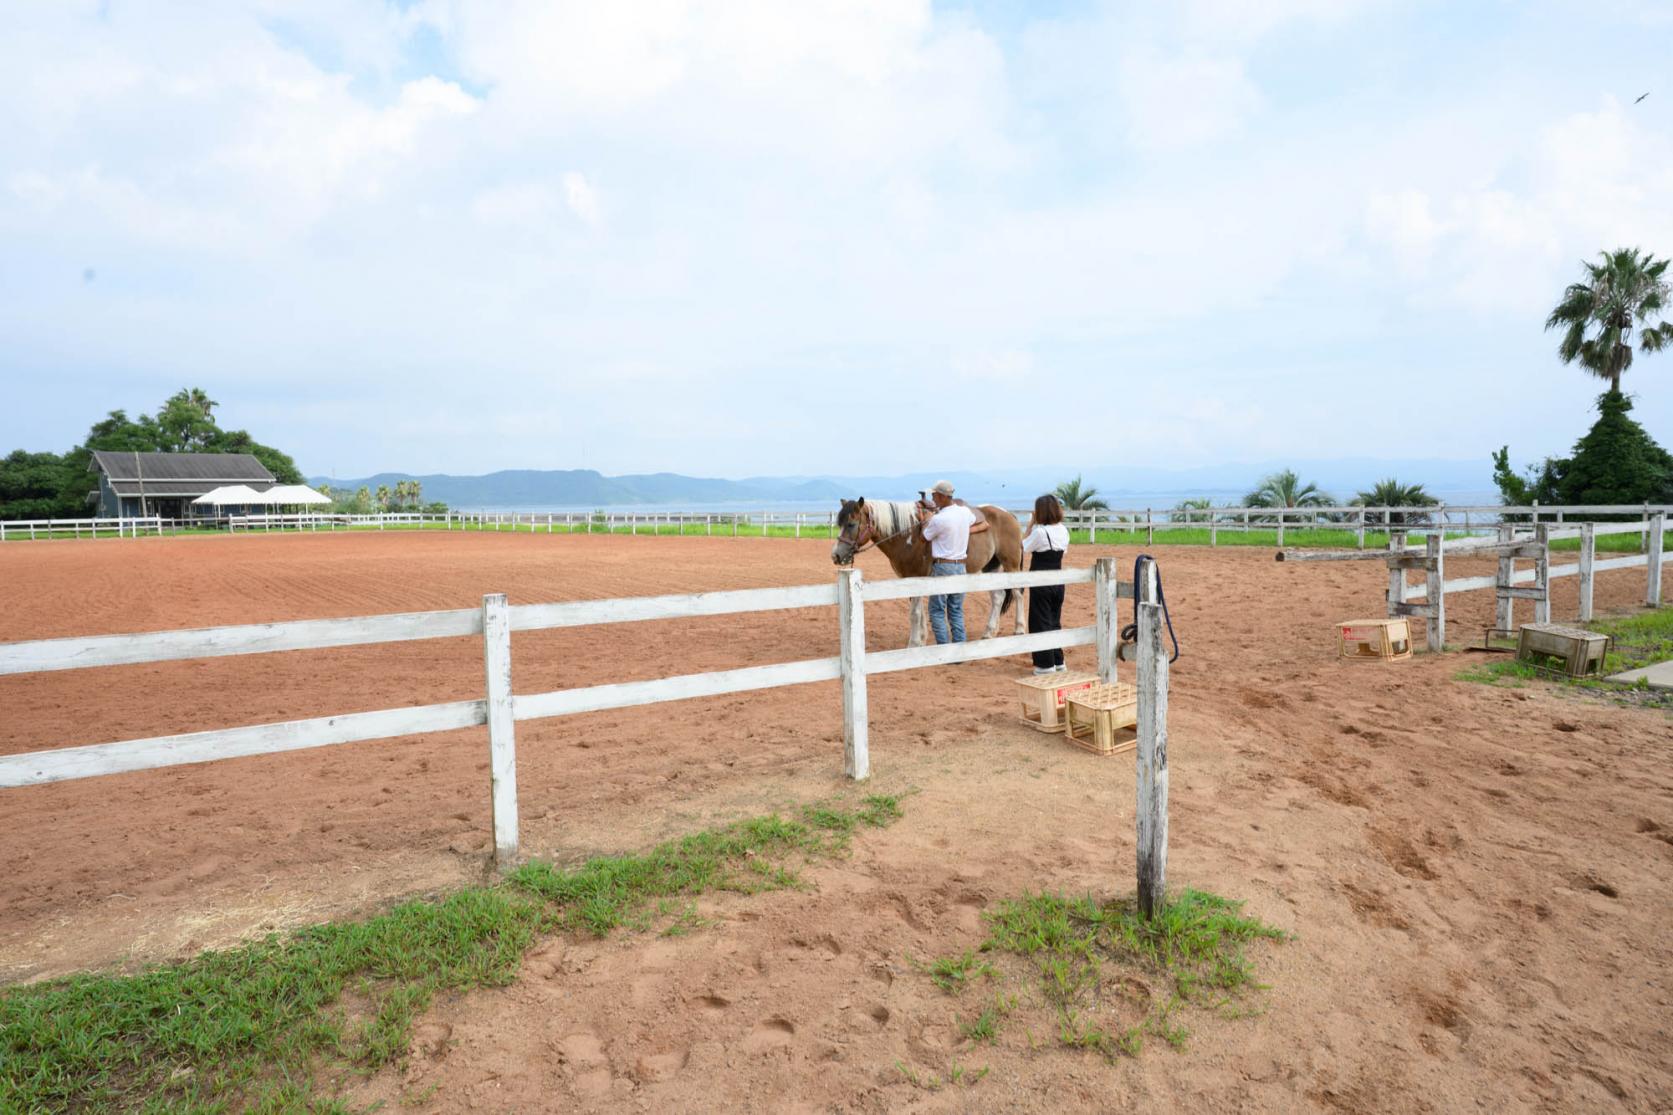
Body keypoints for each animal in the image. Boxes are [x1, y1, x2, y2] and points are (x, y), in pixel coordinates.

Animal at [830, 497, 1026, 647]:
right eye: (839, 523)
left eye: (851, 524)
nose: (836, 555)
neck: (909, 535)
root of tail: (1009, 514)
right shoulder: (911, 578)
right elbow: (919, 612)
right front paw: (921, 639)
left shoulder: (916, 575)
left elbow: (915, 613)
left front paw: (914, 642)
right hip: (990, 568)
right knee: (998, 596)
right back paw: (989, 632)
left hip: (1011, 565)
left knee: (1017, 594)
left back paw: (1019, 628)